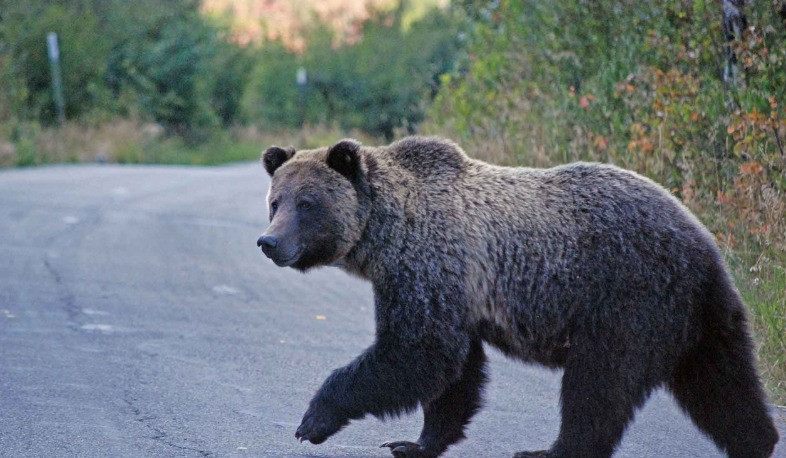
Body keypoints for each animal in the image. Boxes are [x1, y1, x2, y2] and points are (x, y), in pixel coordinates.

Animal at [254, 137, 776, 458]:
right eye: (275, 201)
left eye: (307, 203)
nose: (269, 242)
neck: (385, 232)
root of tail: (702, 240)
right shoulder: (455, 291)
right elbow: (455, 372)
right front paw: (415, 442)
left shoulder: (427, 264)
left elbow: (416, 351)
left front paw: (314, 419)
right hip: (699, 314)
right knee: (722, 383)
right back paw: (759, 440)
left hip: (626, 297)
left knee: (598, 384)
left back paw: (552, 449)